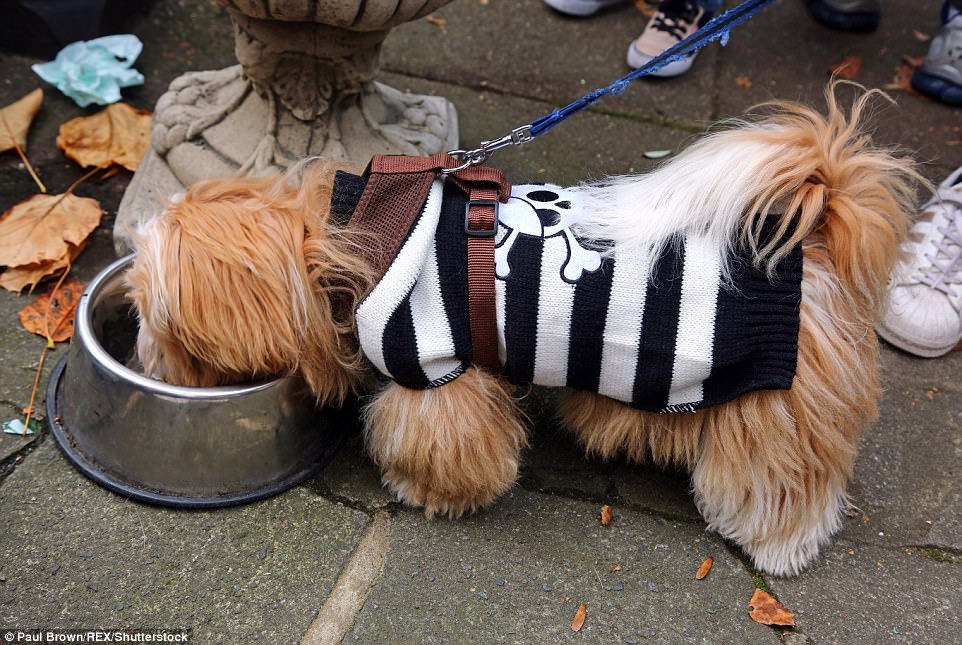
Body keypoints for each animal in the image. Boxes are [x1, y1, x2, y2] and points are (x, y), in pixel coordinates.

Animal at [125, 88, 916, 576]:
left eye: (159, 322)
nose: (150, 366)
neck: (351, 235)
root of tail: (815, 236)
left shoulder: (437, 368)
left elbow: (439, 440)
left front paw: (424, 489)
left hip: (775, 412)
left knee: (788, 485)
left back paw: (778, 545)